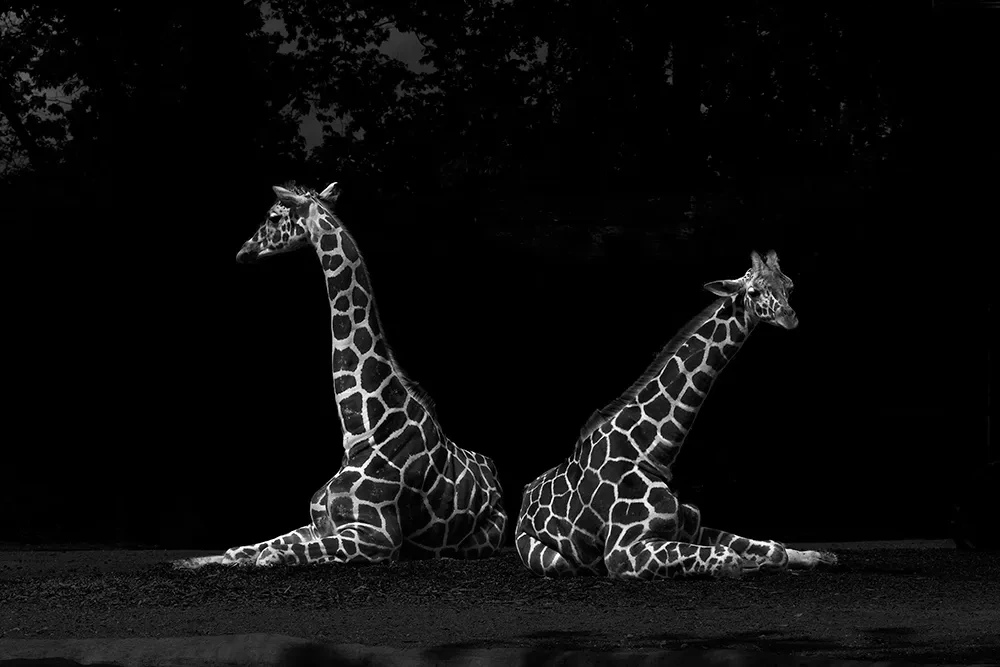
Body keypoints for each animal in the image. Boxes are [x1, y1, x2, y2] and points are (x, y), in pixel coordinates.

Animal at [176, 181, 506, 567]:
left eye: (273, 216)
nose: (243, 251)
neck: (364, 429)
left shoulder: (379, 536)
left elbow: (273, 553)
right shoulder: (318, 522)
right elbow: (239, 549)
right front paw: (202, 561)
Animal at [516, 250, 837, 580]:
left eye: (789, 286)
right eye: (753, 292)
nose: (788, 316)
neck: (652, 450)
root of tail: (525, 494)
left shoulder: (691, 524)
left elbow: (775, 550)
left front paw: (814, 556)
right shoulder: (622, 552)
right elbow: (731, 558)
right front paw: (752, 565)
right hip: (554, 561)